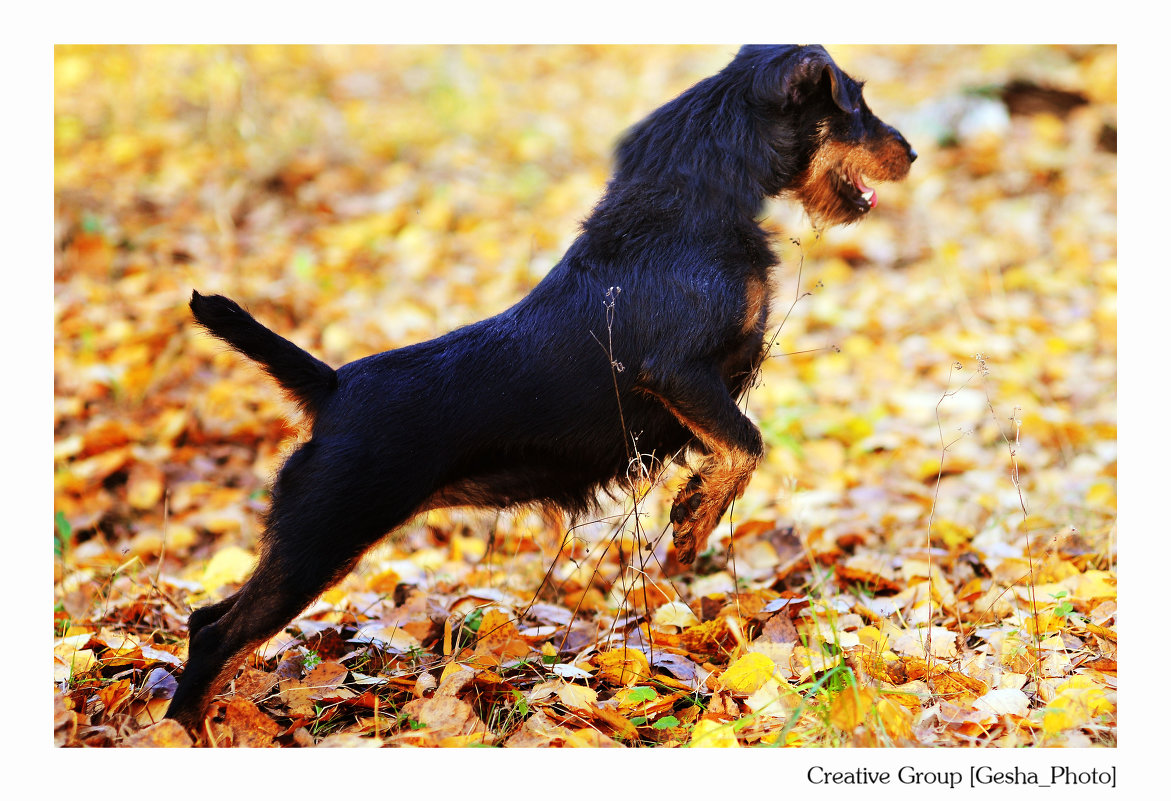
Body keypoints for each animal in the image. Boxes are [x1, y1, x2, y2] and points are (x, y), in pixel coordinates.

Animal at [165, 45, 913, 730]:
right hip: (321, 539)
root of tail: (331, 387)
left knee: (208, 621)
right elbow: (746, 445)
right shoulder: (679, 374)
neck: (690, 204)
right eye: (856, 102)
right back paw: (183, 732)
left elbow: (736, 446)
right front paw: (694, 517)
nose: (908, 153)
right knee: (216, 634)